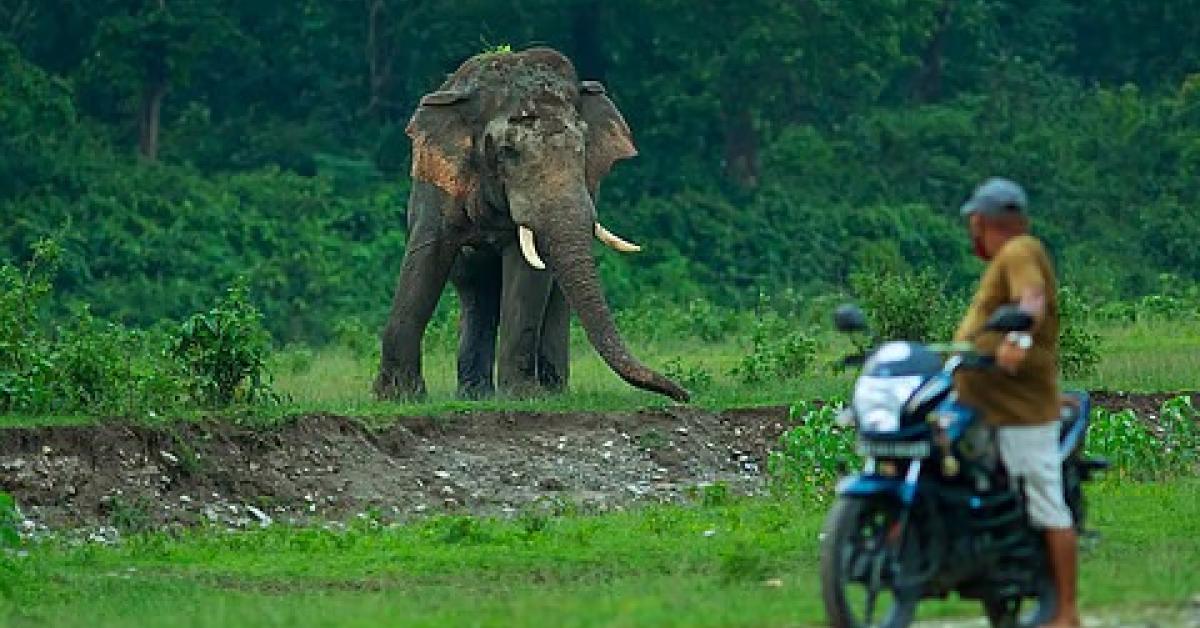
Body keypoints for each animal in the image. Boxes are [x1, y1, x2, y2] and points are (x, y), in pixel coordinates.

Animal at [373, 47, 689, 403]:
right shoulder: (437, 181)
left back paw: (550, 391)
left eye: (582, 150)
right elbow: (425, 257)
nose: (684, 394)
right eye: (508, 151)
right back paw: (475, 395)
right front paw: (397, 397)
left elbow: (528, 273)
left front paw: (523, 396)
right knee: (474, 289)